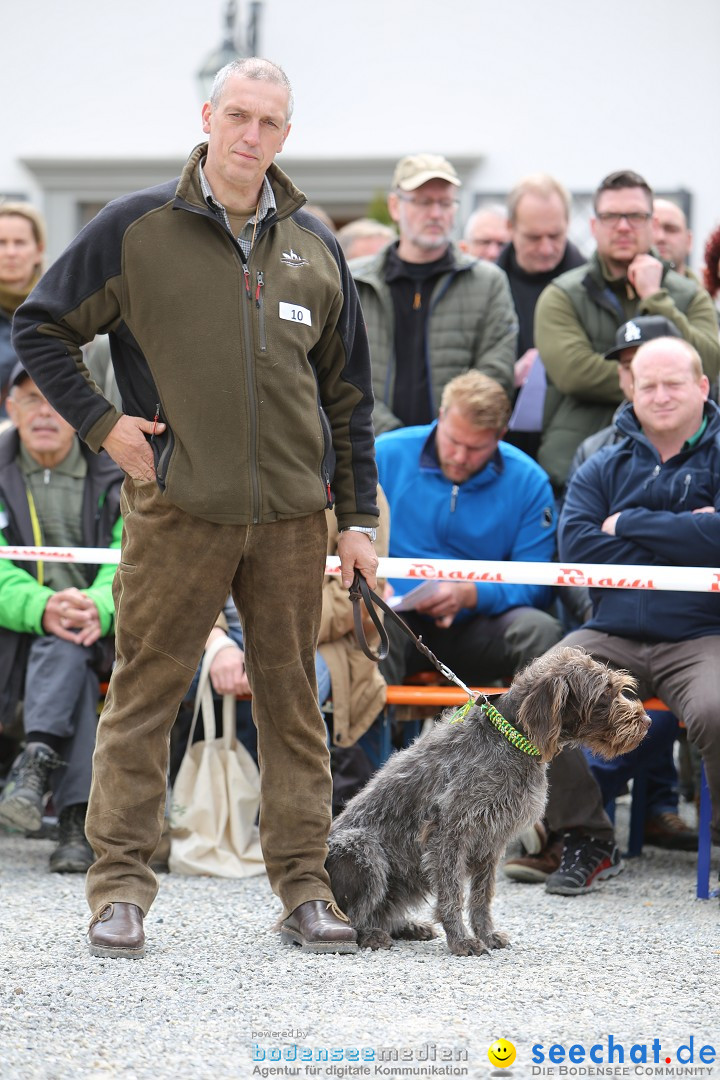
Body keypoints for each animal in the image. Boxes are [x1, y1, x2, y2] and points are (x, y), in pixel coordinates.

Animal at [330, 643, 651, 959]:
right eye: (604, 693)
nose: (647, 721)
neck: (511, 741)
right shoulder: (448, 835)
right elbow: (452, 894)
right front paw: (461, 941)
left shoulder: (492, 839)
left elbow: (482, 897)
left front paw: (486, 935)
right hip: (364, 847)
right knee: (351, 916)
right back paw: (369, 934)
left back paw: (408, 927)